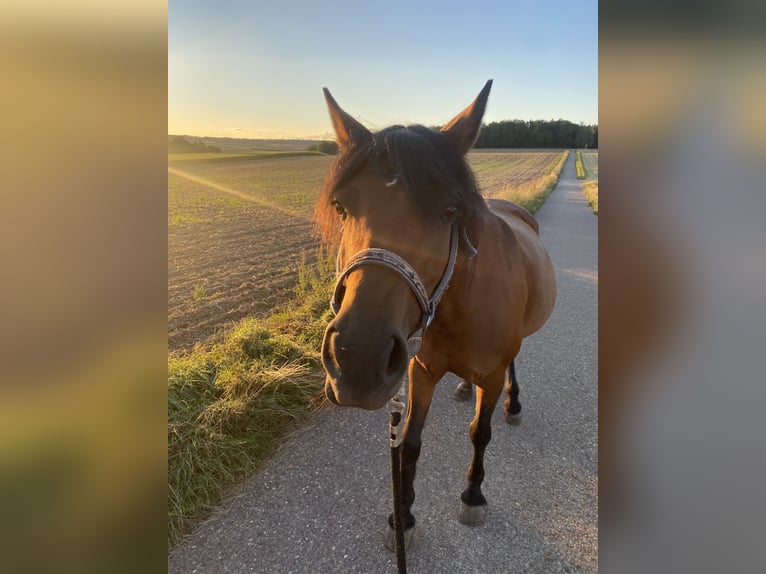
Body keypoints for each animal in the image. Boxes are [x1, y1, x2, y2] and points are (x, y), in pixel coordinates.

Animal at [315, 80, 557, 548]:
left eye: (449, 211)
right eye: (341, 207)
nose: (357, 358)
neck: (459, 306)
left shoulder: (491, 374)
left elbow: (480, 432)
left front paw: (473, 495)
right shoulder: (419, 370)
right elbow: (410, 441)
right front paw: (403, 516)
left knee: (513, 366)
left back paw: (513, 403)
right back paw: (463, 387)